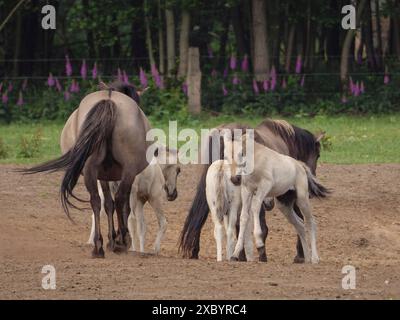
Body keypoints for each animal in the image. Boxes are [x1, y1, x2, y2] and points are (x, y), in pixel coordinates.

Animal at [21, 82, 151, 258]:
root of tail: (109, 100)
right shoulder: (124, 175)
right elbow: (121, 204)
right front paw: (116, 239)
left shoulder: (103, 176)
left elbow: (107, 204)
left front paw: (110, 239)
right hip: (128, 170)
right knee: (119, 199)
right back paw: (121, 241)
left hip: (90, 169)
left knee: (96, 201)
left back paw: (98, 246)